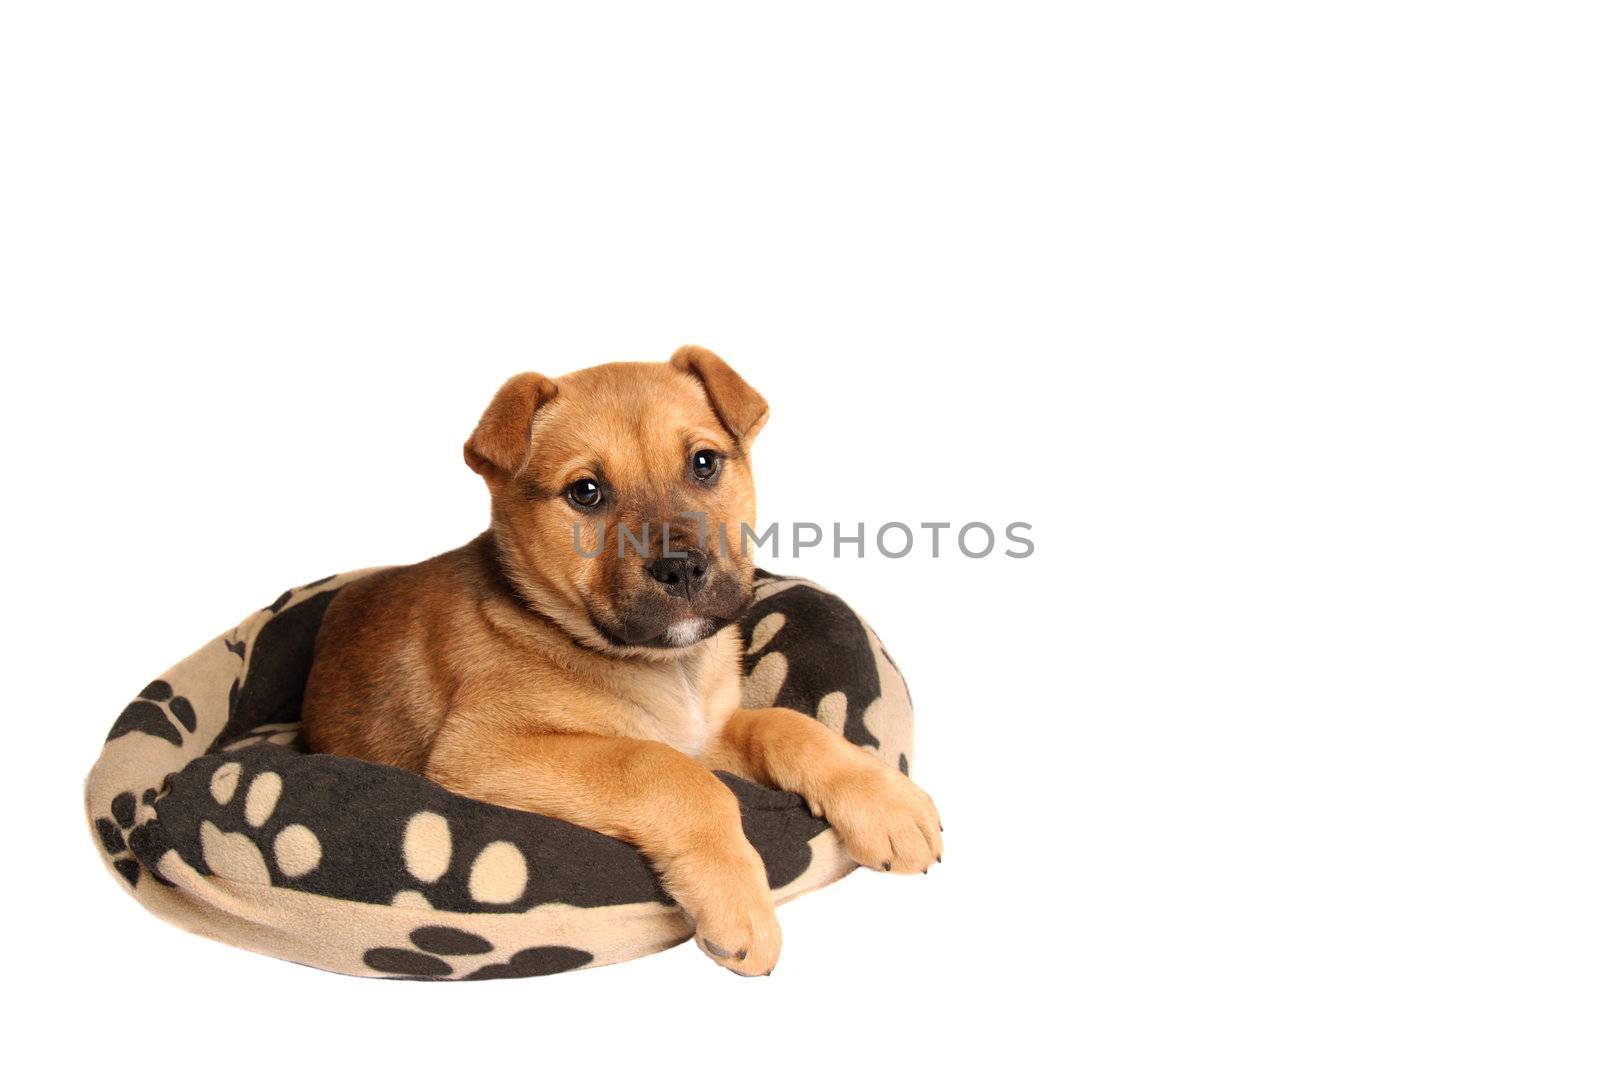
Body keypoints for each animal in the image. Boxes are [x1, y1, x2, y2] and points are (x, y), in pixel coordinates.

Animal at [302, 347, 934, 973]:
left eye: (704, 463)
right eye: (586, 491)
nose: (682, 568)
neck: (662, 665)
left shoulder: (707, 735)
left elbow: (784, 725)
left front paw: (890, 806)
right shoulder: (484, 748)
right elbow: (663, 770)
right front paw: (742, 912)